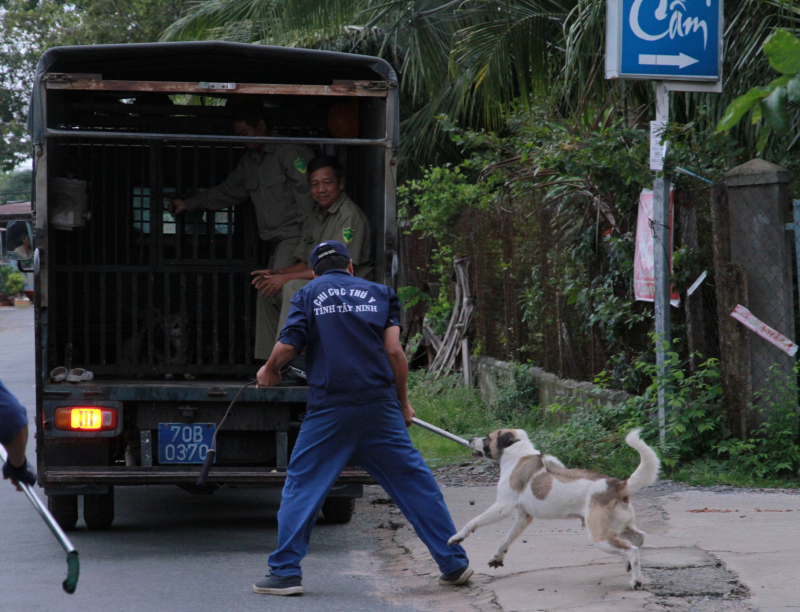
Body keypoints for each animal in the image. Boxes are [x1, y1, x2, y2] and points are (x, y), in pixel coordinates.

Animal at [446, 428, 660, 584]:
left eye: (487, 438)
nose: (469, 439)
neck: (518, 453)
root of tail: (618, 485)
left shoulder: (502, 507)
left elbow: (473, 522)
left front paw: (457, 537)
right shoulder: (523, 518)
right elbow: (505, 540)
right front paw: (498, 558)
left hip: (599, 537)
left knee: (632, 550)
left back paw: (636, 581)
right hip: (618, 527)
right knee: (639, 539)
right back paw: (629, 566)